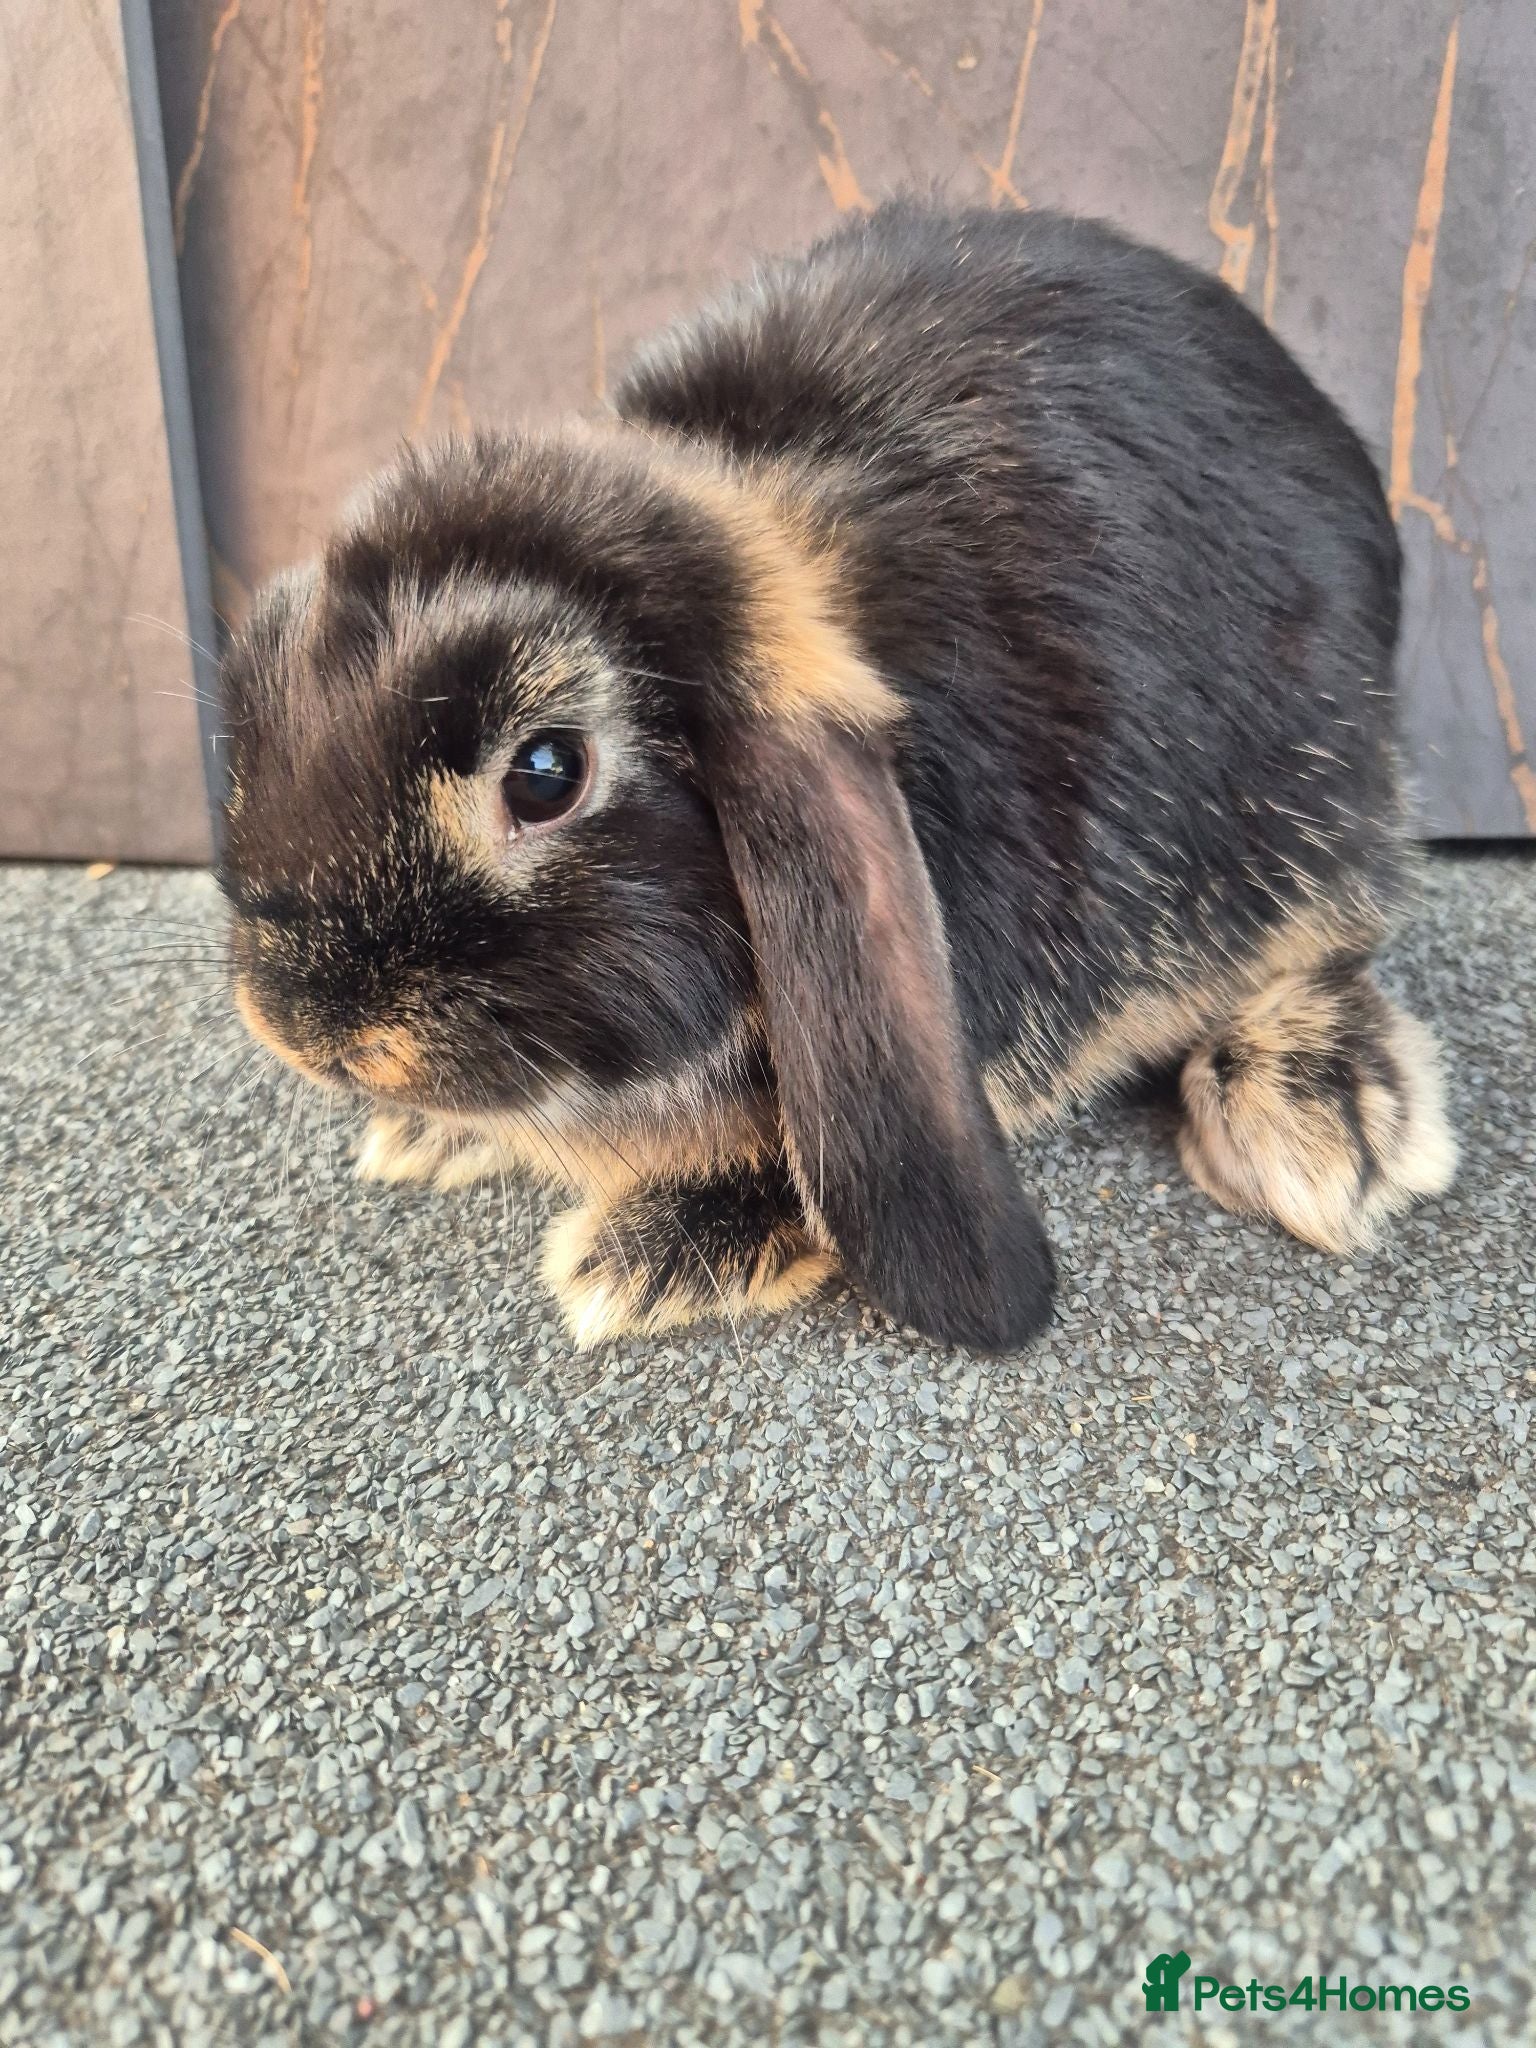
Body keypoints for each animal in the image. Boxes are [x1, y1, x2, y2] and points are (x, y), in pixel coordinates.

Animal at [218, 197, 1456, 1352]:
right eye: (259, 686)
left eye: (547, 773)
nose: (306, 1026)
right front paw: (434, 1133)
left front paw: (657, 1251)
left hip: (1303, 825)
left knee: (1334, 938)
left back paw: (1313, 1112)